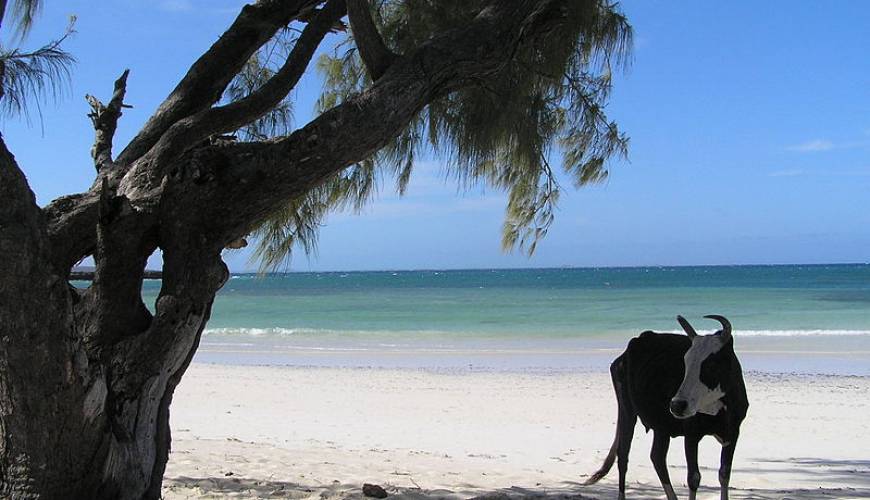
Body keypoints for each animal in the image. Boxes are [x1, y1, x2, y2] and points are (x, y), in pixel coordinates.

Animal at [584, 316, 748, 500]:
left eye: (711, 364)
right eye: (685, 362)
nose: (677, 405)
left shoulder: (733, 433)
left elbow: (724, 473)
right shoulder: (691, 434)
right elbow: (693, 478)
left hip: (661, 426)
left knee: (657, 457)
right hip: (627, 410)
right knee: (624, 456)